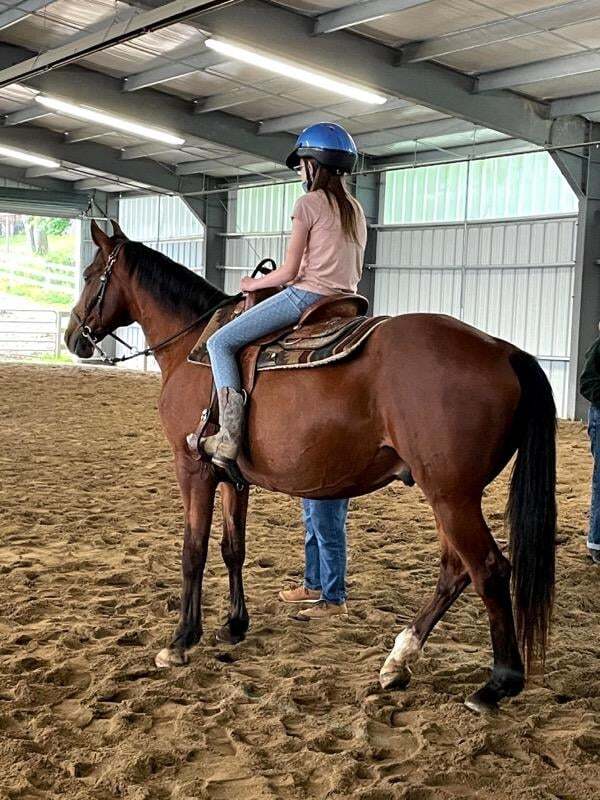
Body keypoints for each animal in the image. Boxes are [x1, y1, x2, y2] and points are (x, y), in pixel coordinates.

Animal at [64, 220, 556, 715]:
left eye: (89, 274)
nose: (72, 337)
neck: (194, 344)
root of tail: (504, 351)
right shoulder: (232, 478)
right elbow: (232, 548)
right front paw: (234, 625)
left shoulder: (194, 469)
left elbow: (193, 552)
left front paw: (182, 640)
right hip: (447, 496)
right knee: (455, 570)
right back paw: (398, 661)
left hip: (452, 497)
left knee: (489, 569)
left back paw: (497, 683)